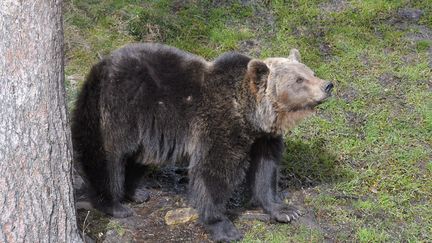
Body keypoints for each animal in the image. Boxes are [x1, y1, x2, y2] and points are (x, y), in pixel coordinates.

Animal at [71, 42, 334, 242]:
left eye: (310, 72)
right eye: (299, 80)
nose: (327, 85)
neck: (250, 115)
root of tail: (99, 66)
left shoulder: (264, 138)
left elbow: (265, 171)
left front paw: (285, 210)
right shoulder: (219, 123)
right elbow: (213, 170)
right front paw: (224, 227)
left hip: (147, 129)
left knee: (138, 157)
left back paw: (136, 192)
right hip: (119, 107)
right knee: (107, 155)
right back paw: (113, 204)